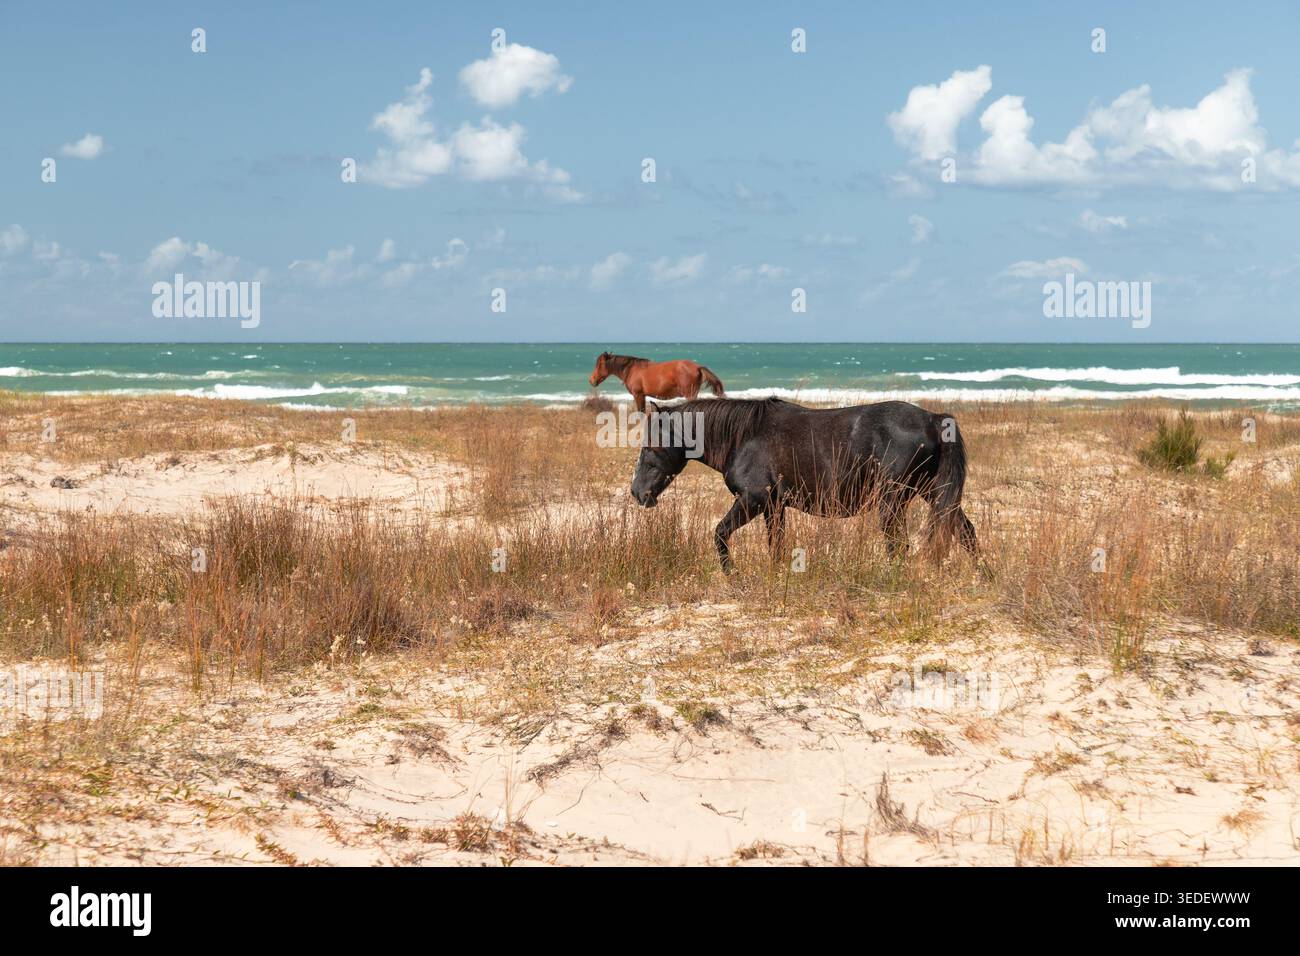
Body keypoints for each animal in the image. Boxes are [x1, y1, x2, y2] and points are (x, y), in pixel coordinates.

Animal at [588, 352, 724, 413]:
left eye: (600, 364)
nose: (591, 380)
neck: (632, 370)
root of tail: (697, 367)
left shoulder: (638, 395)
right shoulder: (642, 396)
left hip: (690, 394)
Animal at [629, 396, 978, 572]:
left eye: (650, 446)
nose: (637, 493)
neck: (744, 436)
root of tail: (933, 418)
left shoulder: (753, 500)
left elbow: (720, 533)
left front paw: (732, 575)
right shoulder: (773, 507)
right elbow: (776, 546)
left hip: (892, 500)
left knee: (898, 544)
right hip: (934, 494)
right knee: (965, 532)